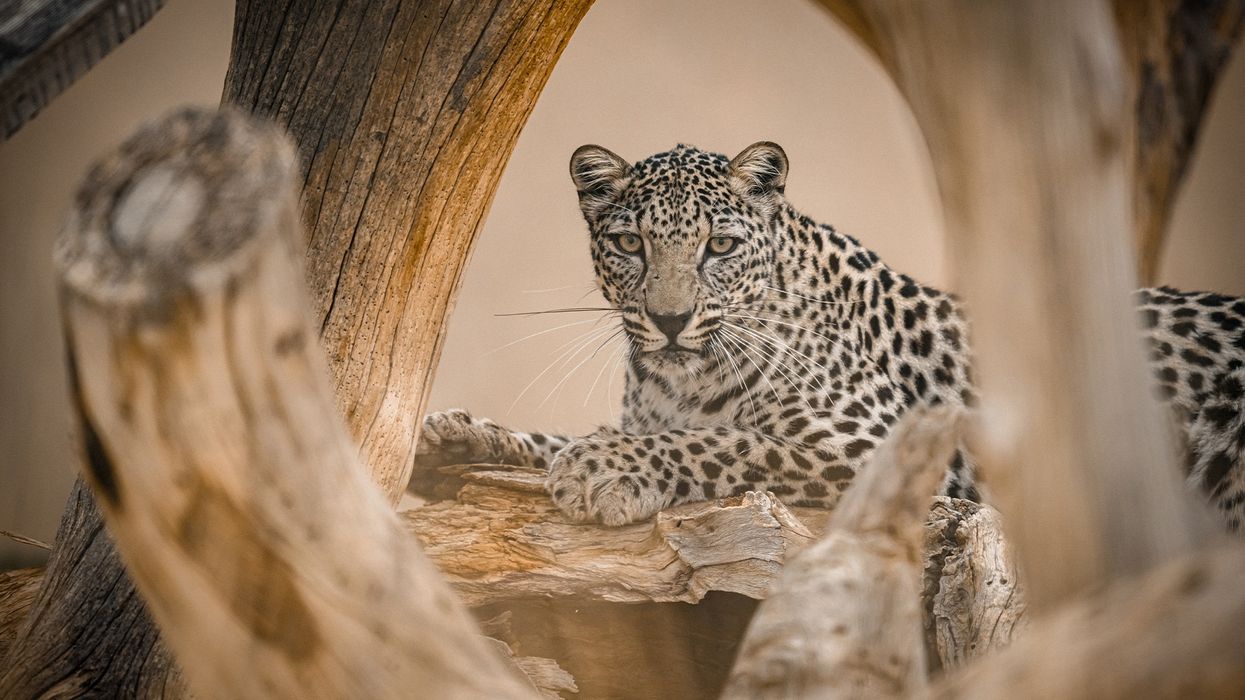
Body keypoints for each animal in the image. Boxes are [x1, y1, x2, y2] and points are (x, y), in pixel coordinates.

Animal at [413, 141, 1245, 532]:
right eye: (629, 244)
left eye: (718, 246)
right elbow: (569, 433)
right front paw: (454, 436)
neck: (683, 374)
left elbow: (726, 443)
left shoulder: (881, 449)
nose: (670, 320)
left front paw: (605, 470)